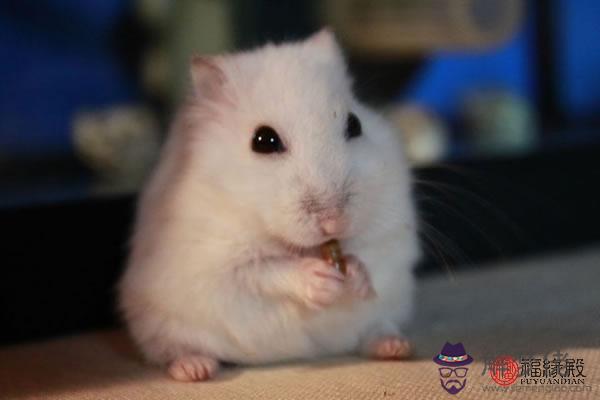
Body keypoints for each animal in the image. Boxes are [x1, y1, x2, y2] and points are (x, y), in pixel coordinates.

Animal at [119, 29, 420, 382]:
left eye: (355, 124)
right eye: (263, 141)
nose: (334, 222)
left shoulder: (391, 234)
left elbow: (370, 255)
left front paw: (354, 276)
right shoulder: (219, 263)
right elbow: (265, 270)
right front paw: (320, 281)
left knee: (377, 330)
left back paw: (396, 347)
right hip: (158, 323)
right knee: (173, 350)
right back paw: (195, 369)